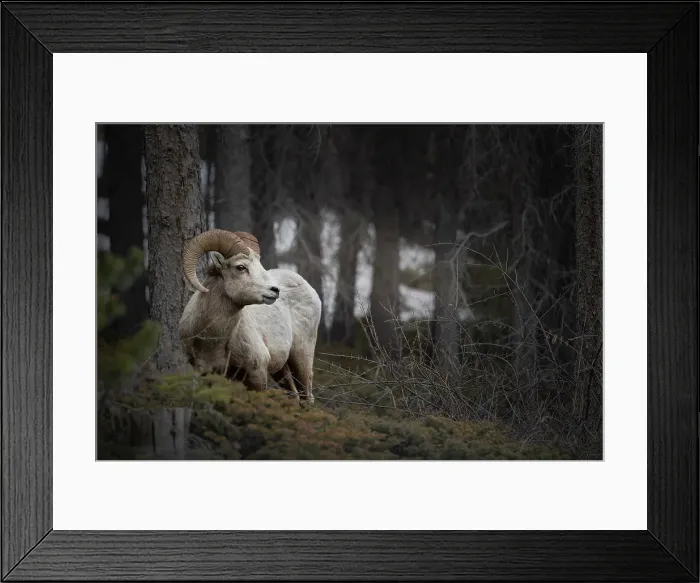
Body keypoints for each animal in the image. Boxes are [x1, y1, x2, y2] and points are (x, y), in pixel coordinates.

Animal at [178, 228, 322, 404]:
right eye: (240, 267)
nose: (275, 290)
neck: (212, 339)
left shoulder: (257, 373)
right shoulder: (207, 373)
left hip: (302, 358)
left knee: (307, 396)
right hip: (282, 369)